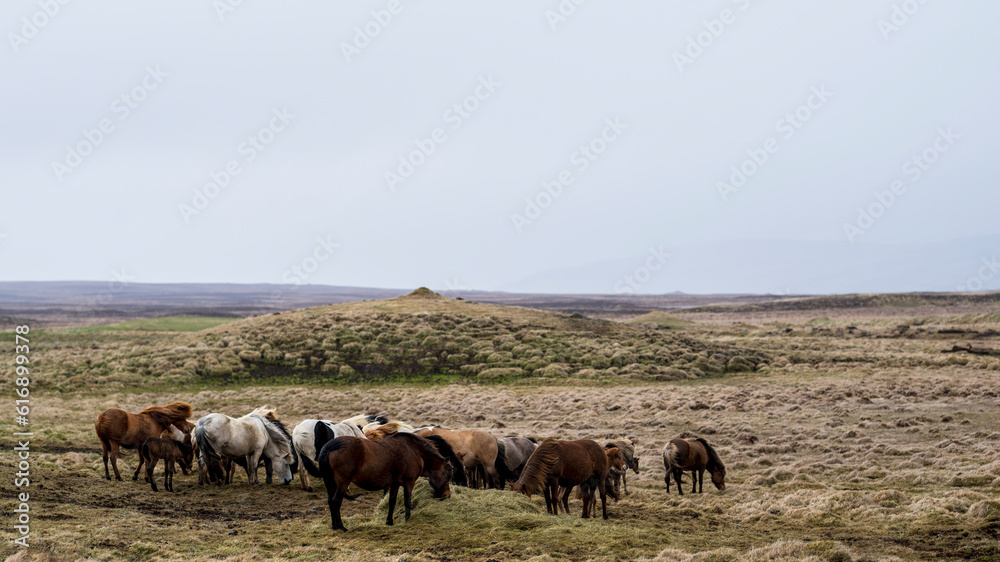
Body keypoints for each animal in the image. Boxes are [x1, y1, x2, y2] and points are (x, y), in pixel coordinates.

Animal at [308, 430, 458, 528]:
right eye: (449, 473)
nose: (447, 495)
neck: (414, 451)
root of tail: (330, 446)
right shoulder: (409, 483)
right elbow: (407, 501)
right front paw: (408, 519)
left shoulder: (394, 484)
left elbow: (392, 503)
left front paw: (389, 522)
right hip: (342, 483)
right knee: (336, 502)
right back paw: (341, 526)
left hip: (330, 483)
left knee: (330, 501)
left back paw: (334, 526)